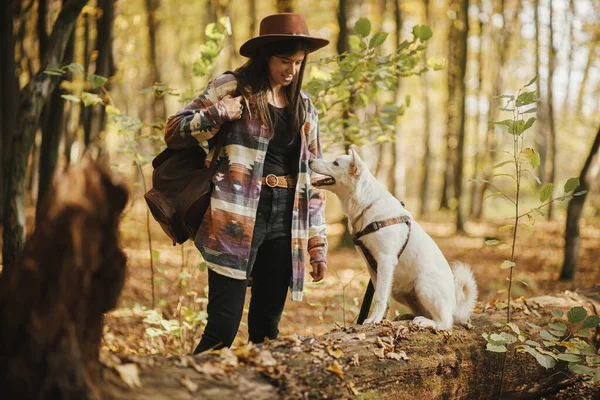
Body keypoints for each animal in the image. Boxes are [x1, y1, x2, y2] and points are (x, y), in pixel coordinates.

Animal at [310, 148, 478, 330]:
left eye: (335, 163)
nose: (309, 161)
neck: (367, 204)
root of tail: (455, 305)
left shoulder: (385, 261)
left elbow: (380, 297)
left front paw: (374, 319)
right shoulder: (373, 268)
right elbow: (382, 298)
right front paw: (379, 318)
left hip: (423, 285)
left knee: (445, 322)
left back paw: (425, 322)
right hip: (402, 292)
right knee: (424, 311)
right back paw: (407, 316)